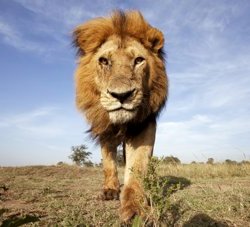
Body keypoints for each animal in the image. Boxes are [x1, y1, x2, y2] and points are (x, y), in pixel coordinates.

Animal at [73, 10, 169, 222]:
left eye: (139, 60)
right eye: (104, 61)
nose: (122, 95)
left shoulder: (143, 126)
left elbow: (137, 167)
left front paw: (135, 208)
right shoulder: (104, 131)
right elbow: (108, 163)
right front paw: (110, 190)